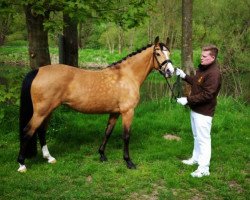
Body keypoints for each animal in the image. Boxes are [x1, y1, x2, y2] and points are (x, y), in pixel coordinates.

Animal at [17, 36, 174, 173]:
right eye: (158, 53)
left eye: (169, 53)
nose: (170, 71)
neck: (126, 76)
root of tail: (37, 71)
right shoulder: (128, 112)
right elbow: (126, 136)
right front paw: (128, 162)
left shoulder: (115, 112)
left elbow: (108, 132)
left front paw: (102, 155)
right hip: (41, 111)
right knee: (27, 131)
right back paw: (22, 164)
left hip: (48, 111)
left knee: (41, 131)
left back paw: (49, 158)